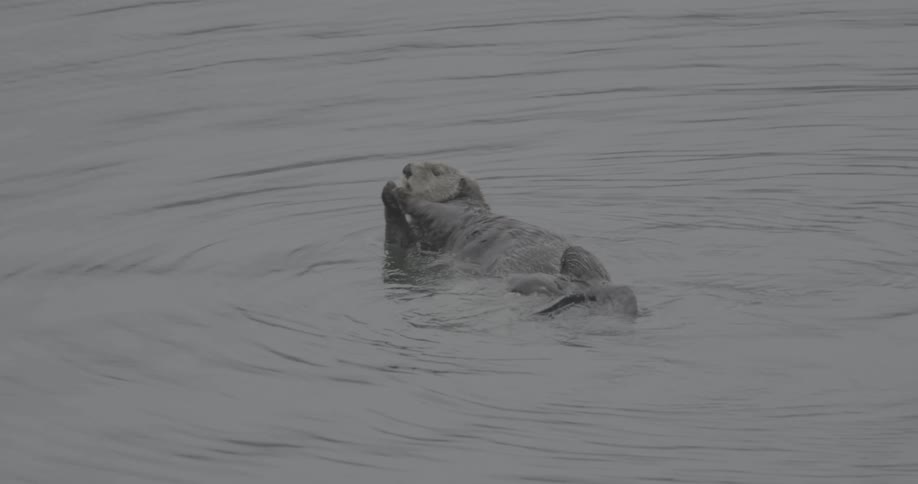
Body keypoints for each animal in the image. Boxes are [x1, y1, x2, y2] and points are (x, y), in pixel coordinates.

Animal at [382, 162, 637, 317]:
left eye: (436, 171)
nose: (407, 169)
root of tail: (583, 289)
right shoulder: (423, 245)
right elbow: (399, 243)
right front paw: (388, 189)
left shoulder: (454, 212)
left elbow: (428, 208)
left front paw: (401, 192)